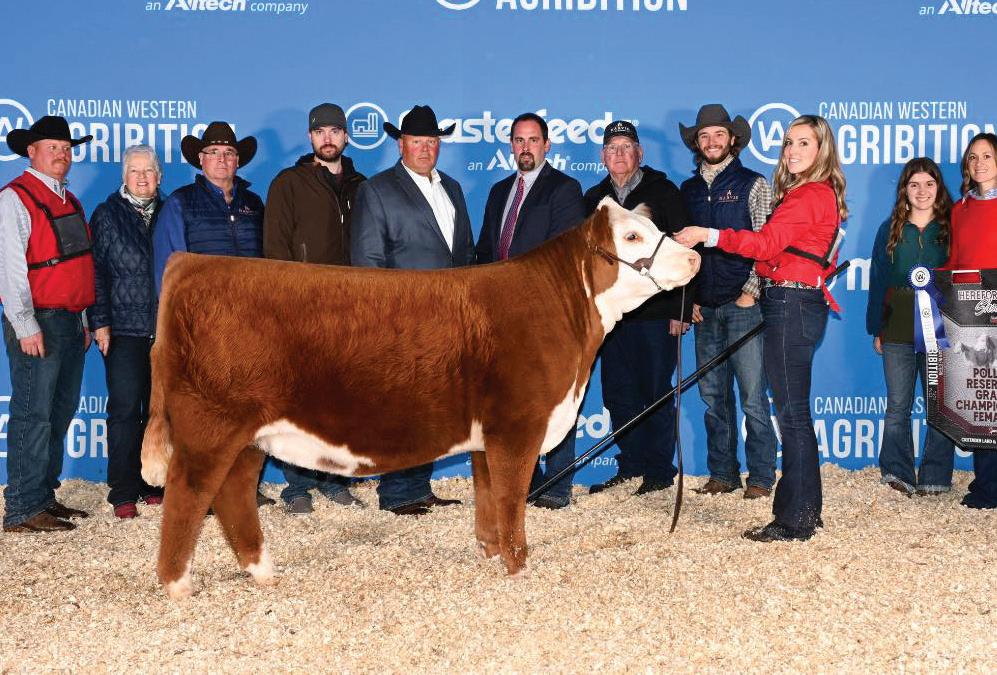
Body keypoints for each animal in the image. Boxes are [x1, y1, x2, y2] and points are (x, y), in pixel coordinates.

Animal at [140, 197, 700, 599]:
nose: (695, 253)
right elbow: (512, 497)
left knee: (233, 494)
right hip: (210, 427)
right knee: (189, 493)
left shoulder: (488, 434)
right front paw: (519, 566)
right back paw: (178, 585)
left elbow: (488, 495)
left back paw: (262, 573)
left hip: (247, 436)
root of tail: (188, 263)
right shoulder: (517, 425)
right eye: (632, 235)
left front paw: (490, 553)